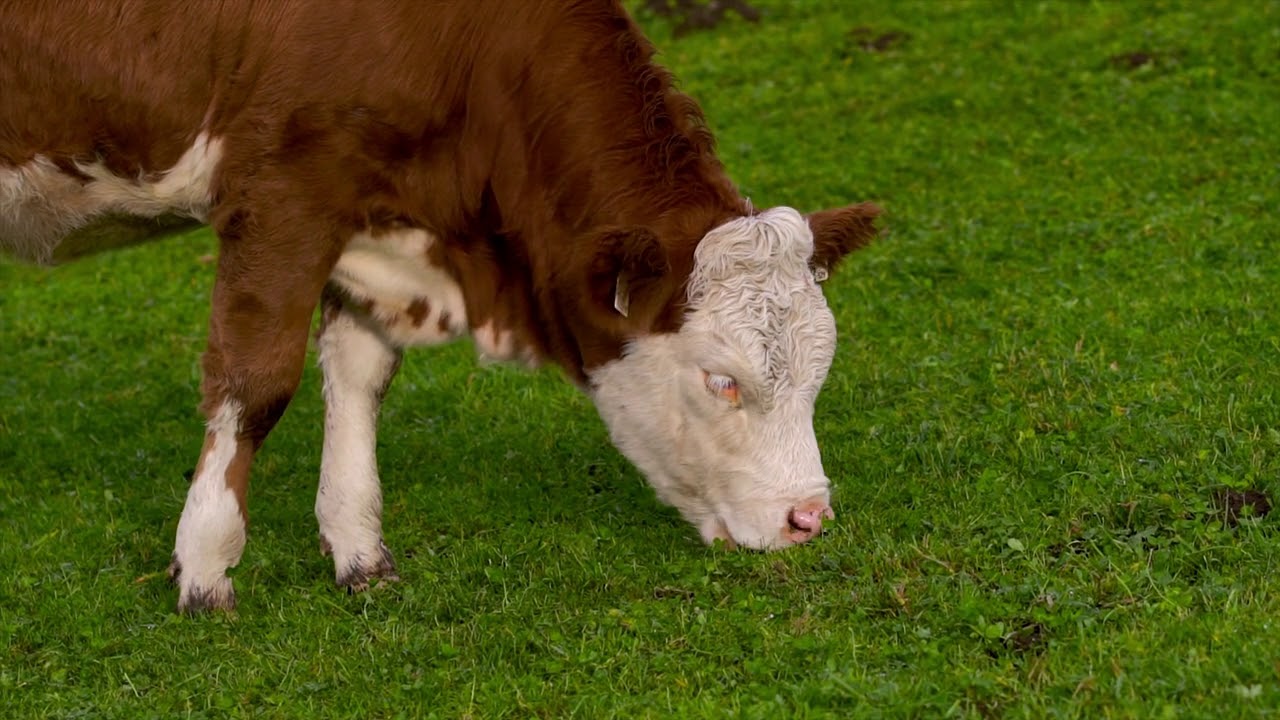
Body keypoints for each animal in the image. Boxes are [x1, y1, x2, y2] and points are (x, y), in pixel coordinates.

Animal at [0, 0, 880, 613]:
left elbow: (358, 378)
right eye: (720, 380)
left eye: (819, 374)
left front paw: (359, 552)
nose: (809, 519)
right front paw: (206, 566)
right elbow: (256, 384)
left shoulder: (374, 214)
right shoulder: (283, 196)